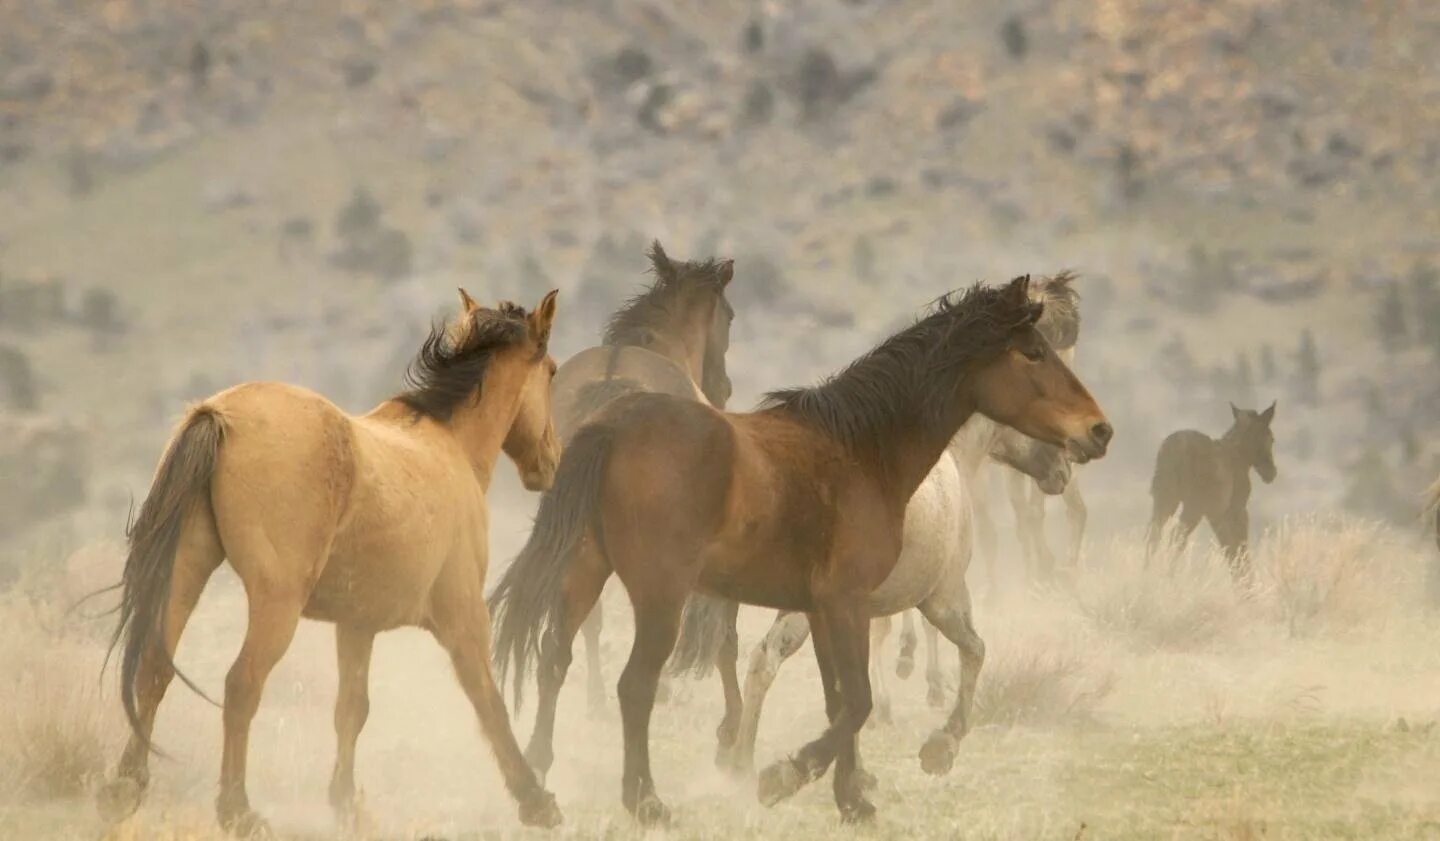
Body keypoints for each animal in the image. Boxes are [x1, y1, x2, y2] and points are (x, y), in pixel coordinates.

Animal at [95, 289, 561, 835]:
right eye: (552, 371)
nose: (550, 460)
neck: (449, 447)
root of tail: (219, 414)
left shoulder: (357, 625)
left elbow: (351, 710)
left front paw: (345, 805)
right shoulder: (463, 618)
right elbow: (489, 701)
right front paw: (535, 800)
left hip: (186, 571)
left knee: (153, 669)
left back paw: (125, 787)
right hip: (276, 603)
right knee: (241, 685)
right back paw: (238, 810)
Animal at [720, 414, 1071, 777]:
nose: (1064, 472)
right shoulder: (944, 596)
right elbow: (974, 650)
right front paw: (941, 744)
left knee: (764, 660)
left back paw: (741, 764)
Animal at [1152, 400, 1278, 578]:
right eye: (1271, 438)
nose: (1271, 473)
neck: (1239, 458)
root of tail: (1173, 449)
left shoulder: (1216, 514)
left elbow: (1230, 547)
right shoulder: (1235, 511)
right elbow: (1237, 547)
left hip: (1164, 498)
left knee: (1154, 534)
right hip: (1192, 506)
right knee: (1177, 535)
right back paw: (1168, 574)